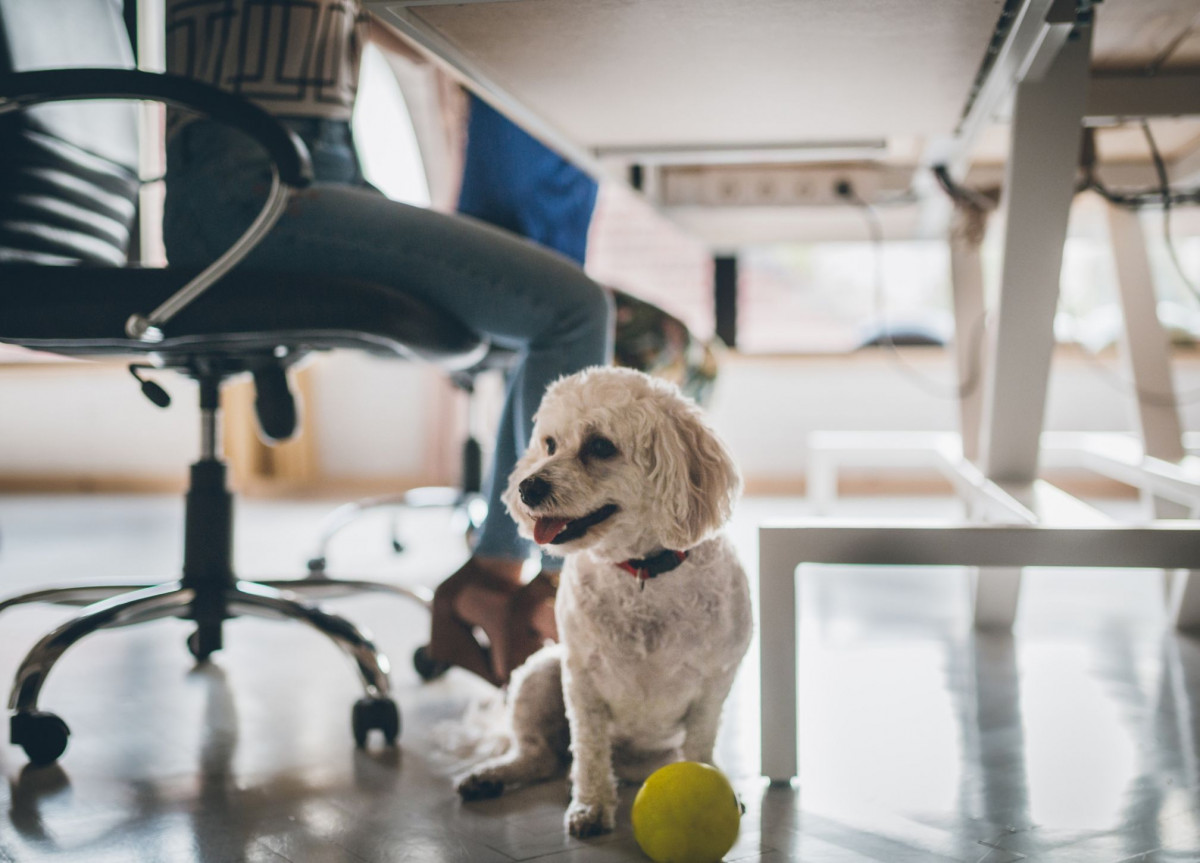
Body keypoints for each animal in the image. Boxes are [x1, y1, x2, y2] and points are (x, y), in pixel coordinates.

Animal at [456, 367, 748, 840]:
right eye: (549, 444)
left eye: (600, 446)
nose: (527, 487)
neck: (640, 571)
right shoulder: (582, 682)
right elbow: (590, 751)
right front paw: (591, 805)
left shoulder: (713, 685)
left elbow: (700, 743)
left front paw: (707, 786)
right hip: (539, 672)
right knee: (541, 755)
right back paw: (495, 776)